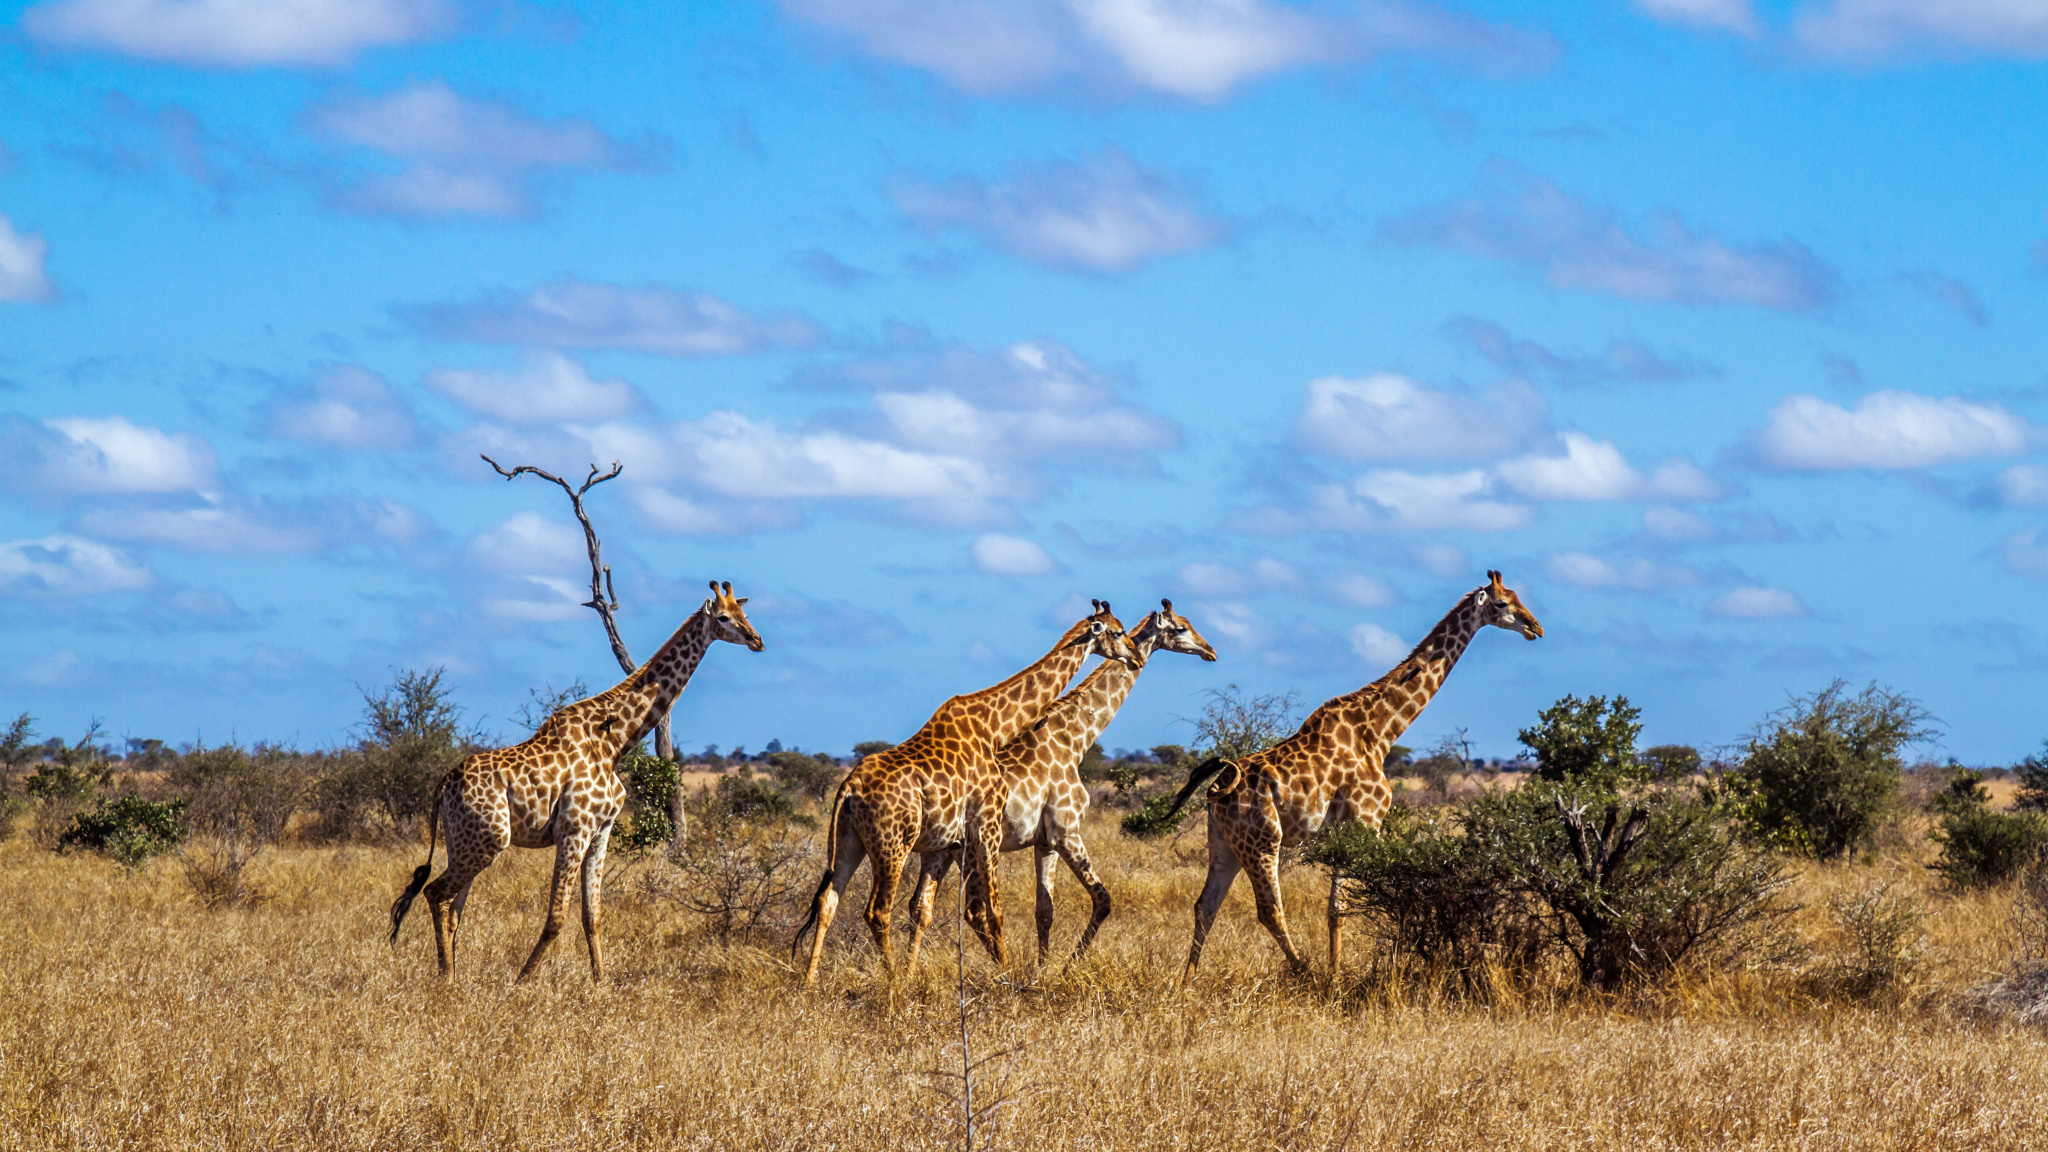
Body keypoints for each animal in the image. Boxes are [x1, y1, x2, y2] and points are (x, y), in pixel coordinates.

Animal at [388, 581, 764, 983]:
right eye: (723, 617)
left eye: (744, 612)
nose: (757, 640)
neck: (616, 743)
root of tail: (443, 784)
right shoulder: (574, 829)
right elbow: (556, 917)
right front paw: (522, 982)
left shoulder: (601, 832)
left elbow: (592, 916)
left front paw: (600, 984)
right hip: (489, 840)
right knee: (435, 893)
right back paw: (447, 977)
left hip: (464, 842)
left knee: (452, 906)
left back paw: (453, 974)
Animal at [793, 602, 1141, 985]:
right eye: (1118, 631)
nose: (1136, 656)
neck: (994, 727)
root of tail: (849, 788)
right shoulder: (988, 825)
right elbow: (995, 910)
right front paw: (1007, 976)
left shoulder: (968, 837)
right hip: (892, 845)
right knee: (877, 911)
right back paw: (894, 982)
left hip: (850, 840)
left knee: (829, 900)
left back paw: (809, 983)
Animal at [901, 599, 1217, 968]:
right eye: (1180, 627)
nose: (1211, 651)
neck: (1074, 739)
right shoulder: (1066, 831)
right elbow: (1103, 900)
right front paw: (1068, 967)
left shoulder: (1045, 841)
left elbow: (1045, 910)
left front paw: (1043, 968)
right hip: (967, 847)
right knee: (968, 909)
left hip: (941, 849)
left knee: (920, 906)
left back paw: (909, 973)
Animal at [1164, 571, 1542, 986]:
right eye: (1503, 603)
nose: (1535, 627)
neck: (1381, 731)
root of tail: (1218, 788)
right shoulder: (1366, 821)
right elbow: (1359, 900)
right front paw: (1344, 976)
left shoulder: (1343, 831)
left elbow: (1336, 908)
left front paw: (1337, 972)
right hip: (1262, 841)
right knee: (1269, 911)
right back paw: (1305, 974)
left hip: (1223, 845)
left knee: (1205, 906)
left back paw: (1186, 985)